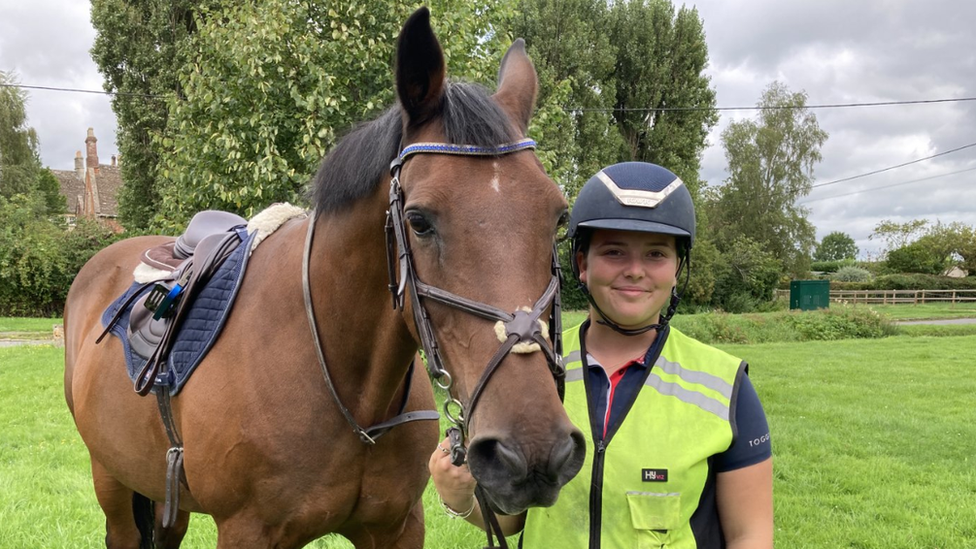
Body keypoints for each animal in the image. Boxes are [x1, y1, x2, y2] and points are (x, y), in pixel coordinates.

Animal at [66, 7, 588, 548]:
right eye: (419, 221)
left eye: (557, 217)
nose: (532, 449)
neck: (347, 389)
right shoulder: (246, 531)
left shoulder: (397, 525)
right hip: (112, 482)